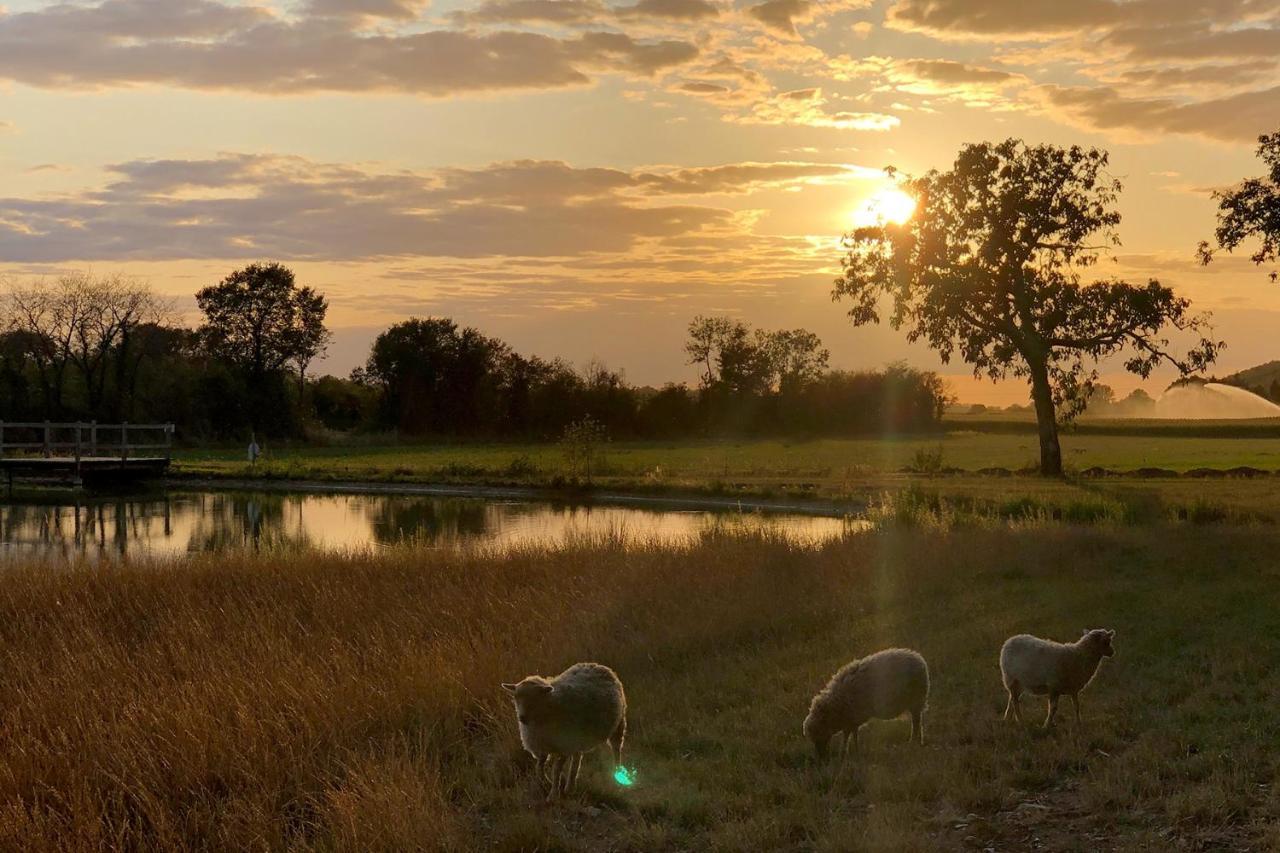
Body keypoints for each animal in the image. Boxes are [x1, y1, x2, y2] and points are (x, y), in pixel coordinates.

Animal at [499, 655, 624, 799]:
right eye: (516, 697)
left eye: (535, 698)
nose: (522, 718)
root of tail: (596, 665)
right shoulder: (542, 747)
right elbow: (539, 768)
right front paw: (546, 782)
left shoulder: (563, 747)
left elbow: (556, 771)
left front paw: (553, 794)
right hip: (577, 738)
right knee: (576, 759)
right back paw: (570, 786)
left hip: (618, 723)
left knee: (616, 749)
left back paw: (617, 772)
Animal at [798, 645, 931, 758]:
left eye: (818, 736)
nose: (821, 757)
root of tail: (919, 659)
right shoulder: (851, 720)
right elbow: (853, 734)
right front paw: (853, 750)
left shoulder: (852, 717)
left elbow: (849, 735)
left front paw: (847, 752)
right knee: (917, 722)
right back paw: (917, 741)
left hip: (916, 701)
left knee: (916, 723)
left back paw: (914, 741)